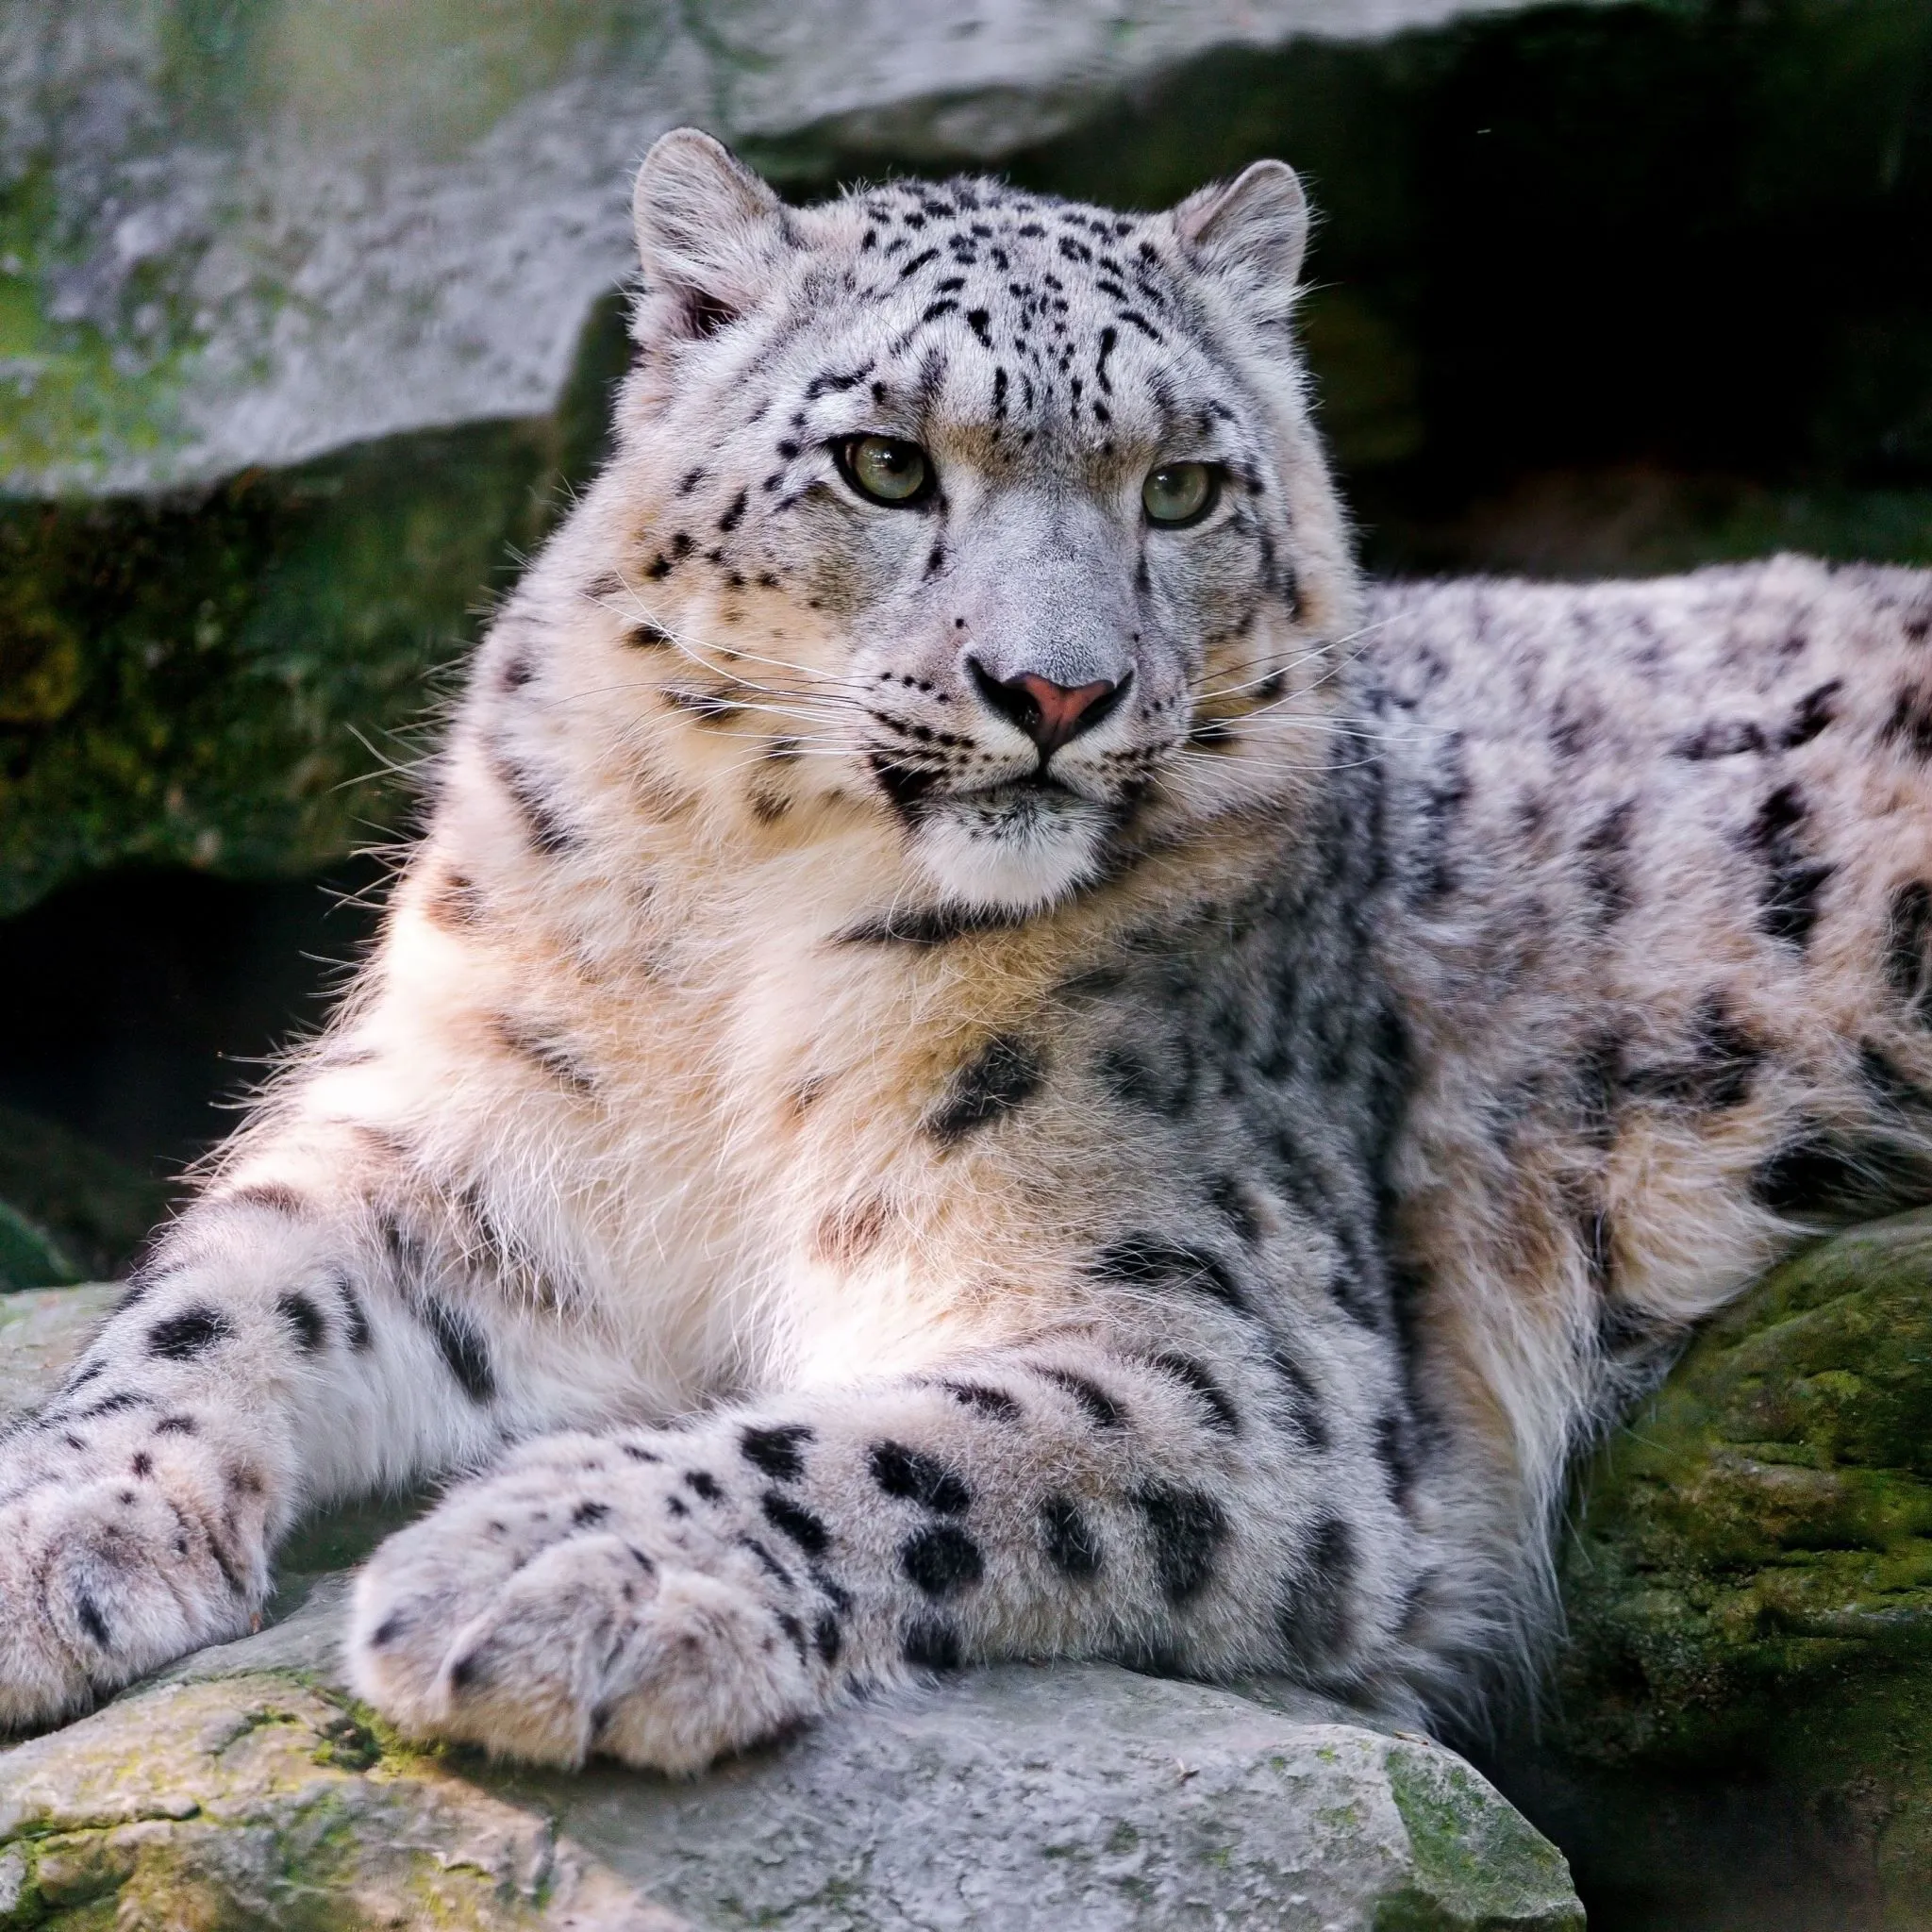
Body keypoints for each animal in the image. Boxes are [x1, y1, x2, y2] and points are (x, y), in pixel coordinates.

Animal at [3, 127, 1931, 1776]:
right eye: (882, 462)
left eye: (1182, 489)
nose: (1056, 691)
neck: (746, 939)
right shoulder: (455, 1136)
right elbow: (218, 1291)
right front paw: (46, 1538)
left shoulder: (1225, 1352)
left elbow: (894, 1445)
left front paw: (557, 1570)